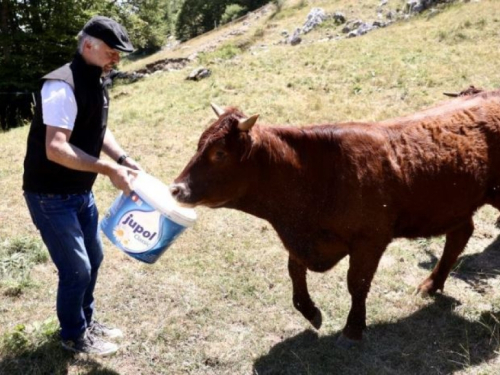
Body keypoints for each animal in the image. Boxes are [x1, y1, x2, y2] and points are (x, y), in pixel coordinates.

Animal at [170, 93, 500, 346]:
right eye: (198, 144)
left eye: (219, 153)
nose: (176, 189)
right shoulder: (302, 238)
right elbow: (294, 270)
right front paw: (310, 310)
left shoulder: (370, 240)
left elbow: (357, 283)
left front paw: (353, 328)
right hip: (456, 204)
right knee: (459, 235)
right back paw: (431, 284)